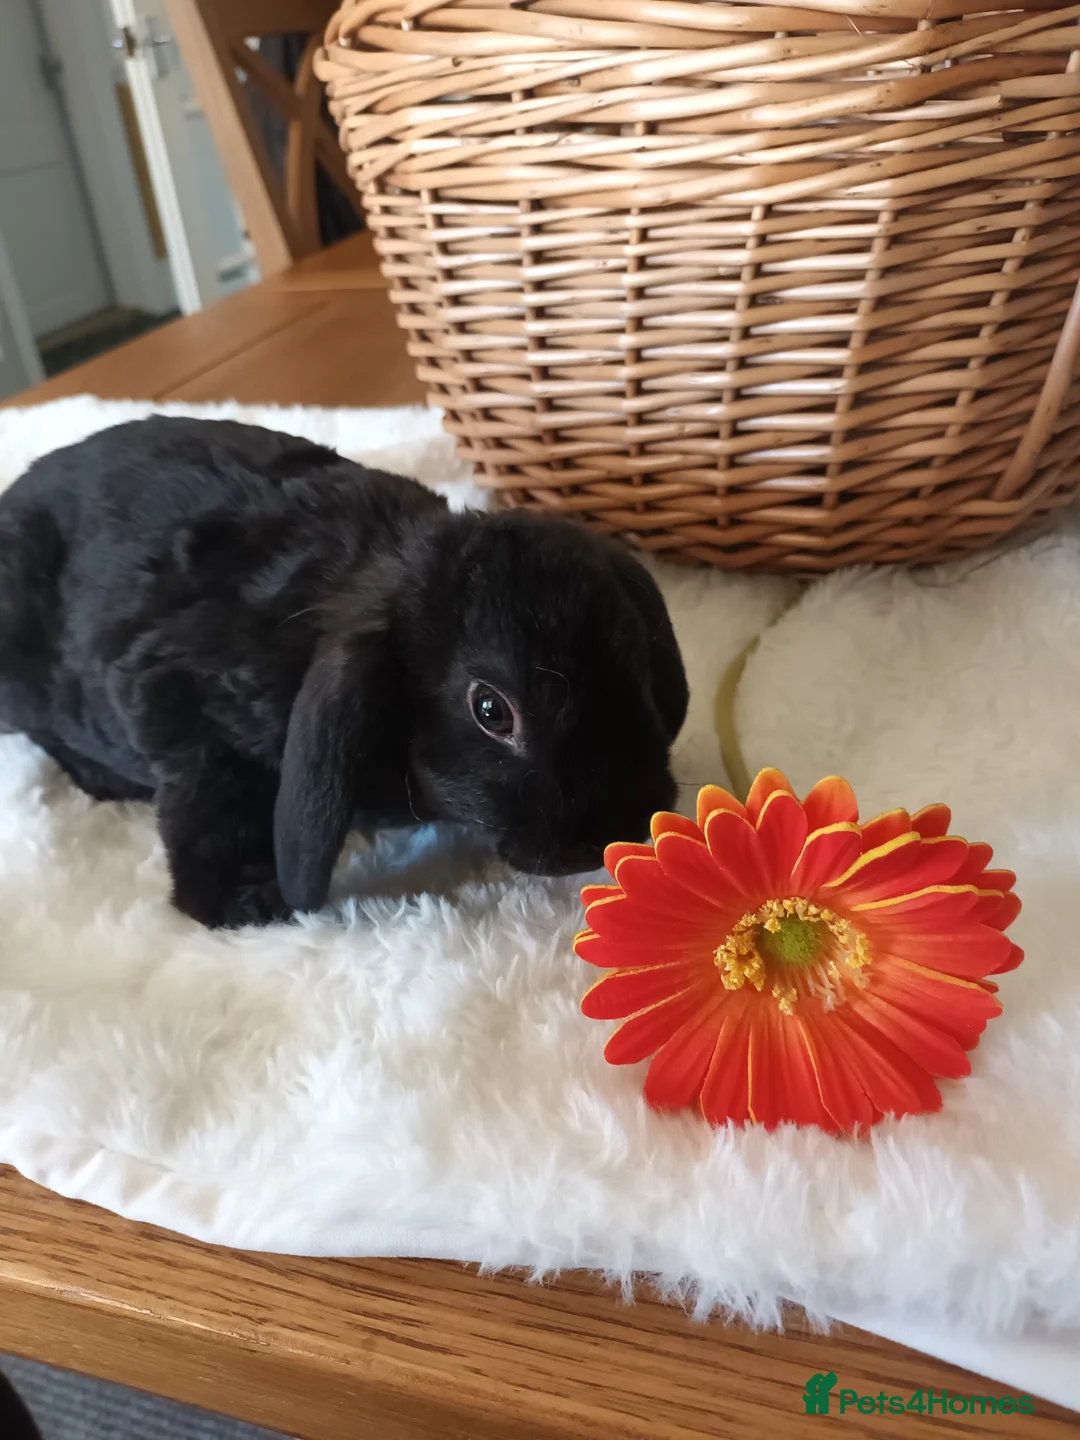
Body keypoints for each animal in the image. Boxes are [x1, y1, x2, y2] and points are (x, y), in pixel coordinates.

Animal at [0, 416, 689, 929]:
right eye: (491, 710)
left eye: (634, 659)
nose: (618, 829)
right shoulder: (181, 716)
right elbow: (209, 811)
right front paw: (248, 904)